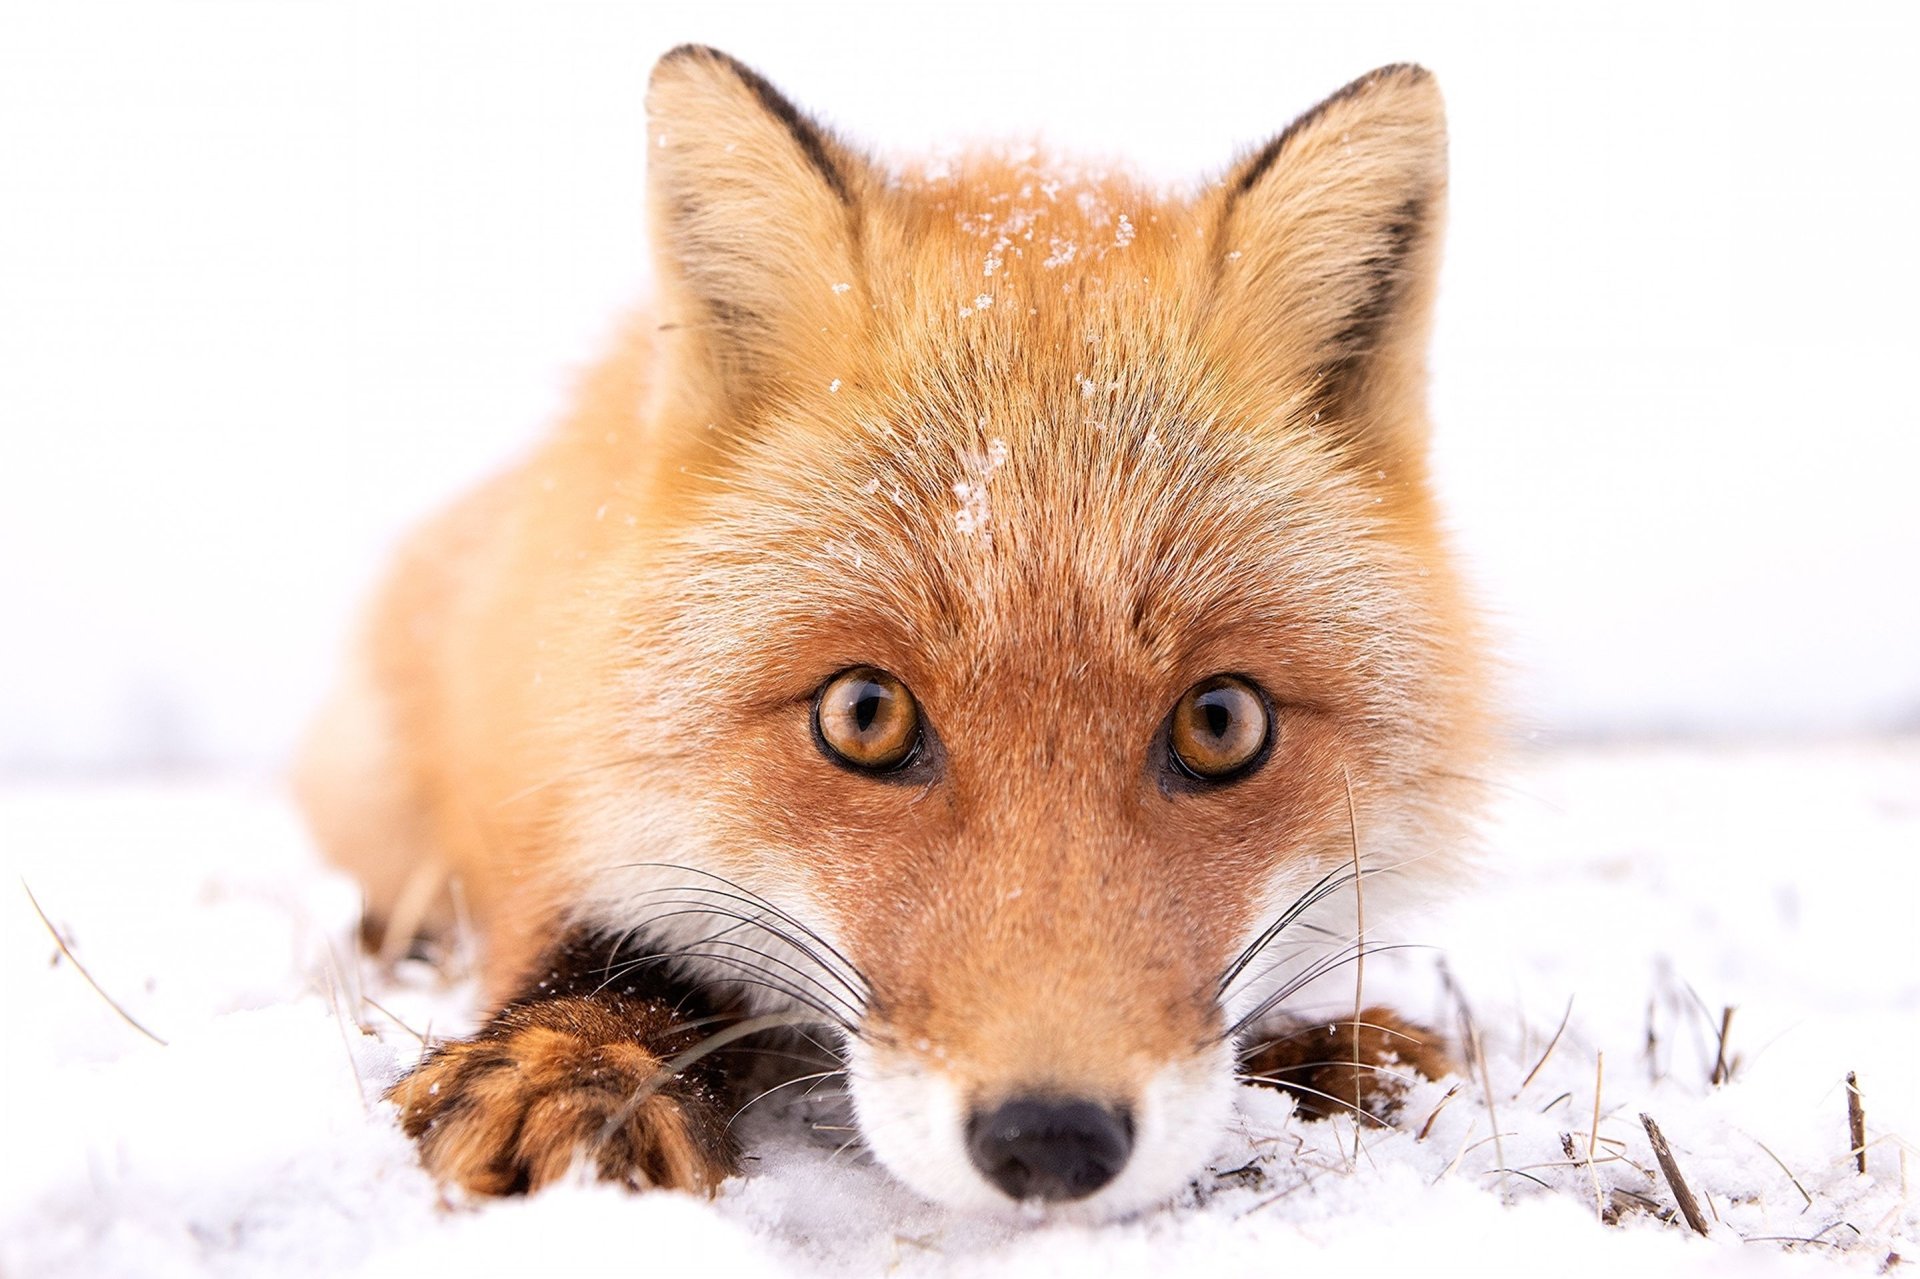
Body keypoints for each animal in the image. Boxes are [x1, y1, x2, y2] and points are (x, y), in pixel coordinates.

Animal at [296, 45, 1491, 1216]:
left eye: (1221, 723)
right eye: (863, 715)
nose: (1050, 1139)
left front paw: (1339, 1053)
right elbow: (608, 943)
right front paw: (572, 1061)